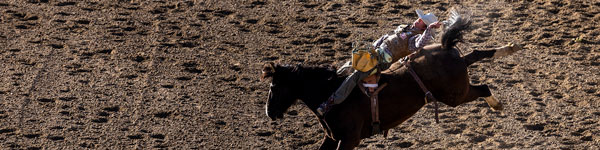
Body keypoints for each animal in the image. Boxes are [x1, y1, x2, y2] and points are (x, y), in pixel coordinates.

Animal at [260, 10, 524, 149]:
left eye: (275, 86)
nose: (269, 112)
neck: (328, 91)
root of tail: (446, 47)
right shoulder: (331, 138)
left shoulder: (348, 140)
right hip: (458, 80)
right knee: (476, 55)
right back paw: (510, 48)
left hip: (455, 95)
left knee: (483, 86)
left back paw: (497, 102)